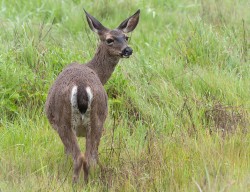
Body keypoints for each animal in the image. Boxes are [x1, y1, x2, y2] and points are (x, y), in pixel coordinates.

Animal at [44, 9, 139, 183]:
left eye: (126, 37)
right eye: (109, 39)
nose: (128, 50)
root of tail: (82, 86)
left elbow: (67, 155)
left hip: (64, 121)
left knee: (78, 157)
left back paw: (75, 183)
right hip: (98, 119)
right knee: (90, 157)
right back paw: (88, 183)